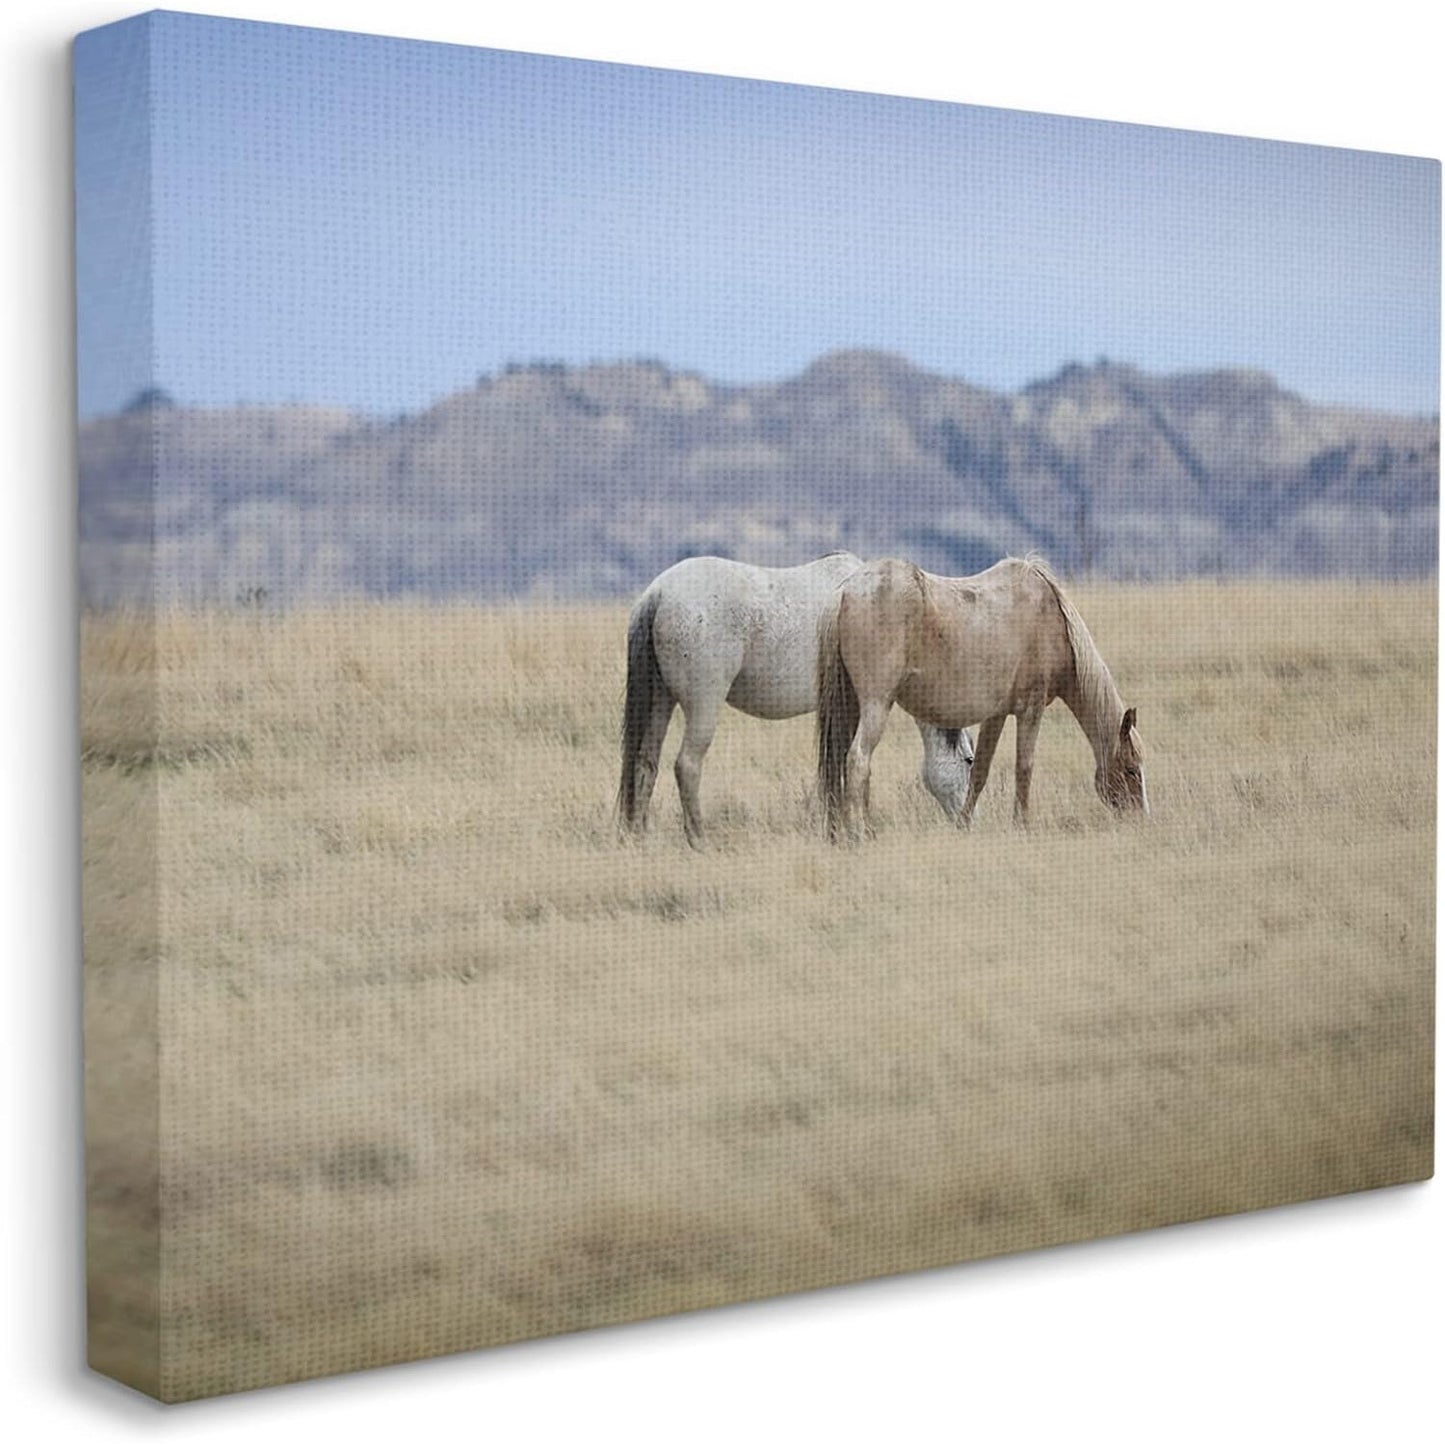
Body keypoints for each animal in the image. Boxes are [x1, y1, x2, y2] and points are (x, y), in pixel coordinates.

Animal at [618, 553, 975, 846]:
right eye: (969, 760)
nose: (968, 820)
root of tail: (658, 593)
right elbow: (855, 761)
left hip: (661, 701)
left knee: (645, 762)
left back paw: (639, 835)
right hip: (704, 704)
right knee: (687, 765)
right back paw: (699, 839)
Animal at [817, 555, 1147, 838]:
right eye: (1131, 769)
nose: (1141, 819)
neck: (1052, 623)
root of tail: (846, 591)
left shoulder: (996, 715)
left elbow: (980, 771)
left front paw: (964, 825)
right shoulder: (1031, 709)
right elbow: (1024, 767)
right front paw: (1022, 825)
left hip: (852, 705)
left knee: (841, 762)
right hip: (876, 705)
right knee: (858, 760)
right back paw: (858, 833)